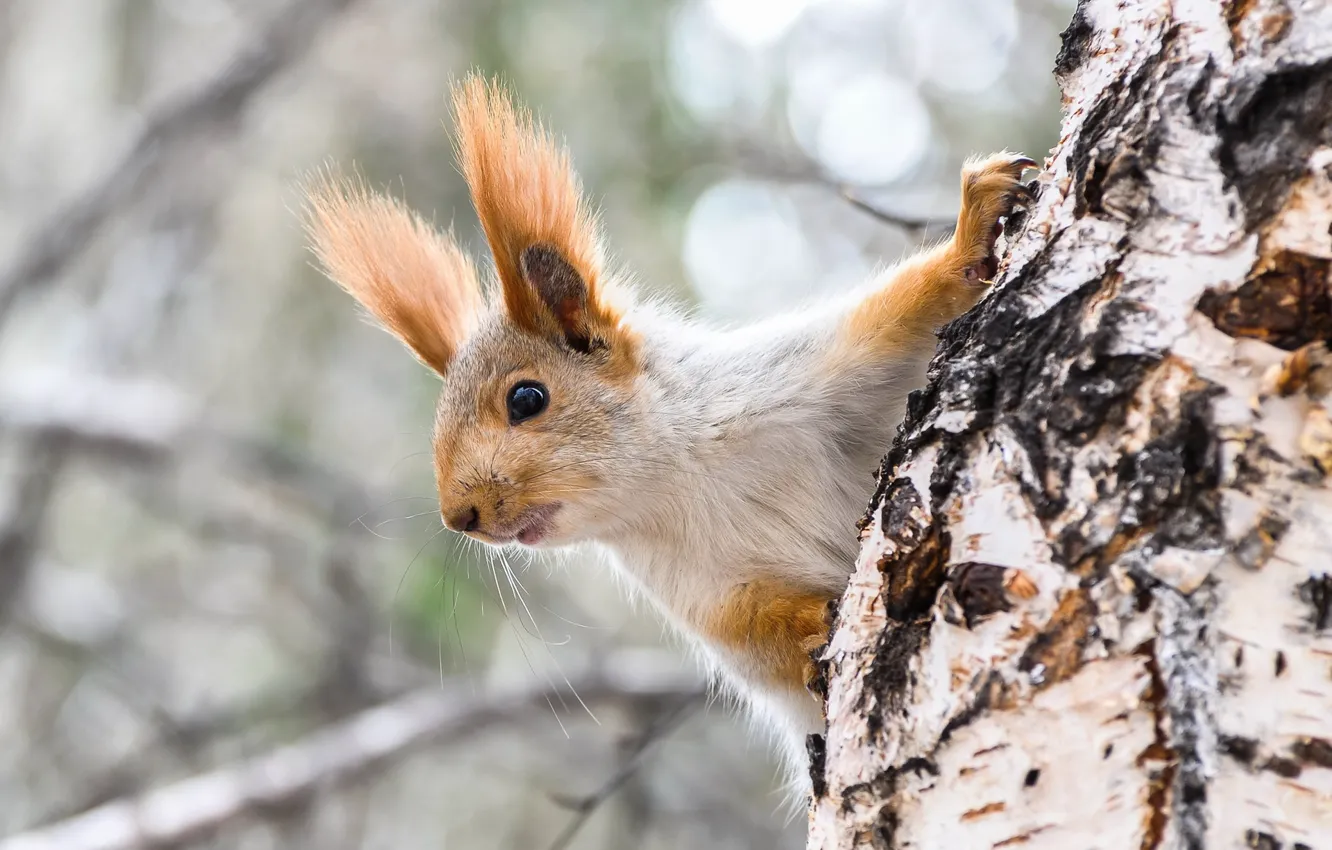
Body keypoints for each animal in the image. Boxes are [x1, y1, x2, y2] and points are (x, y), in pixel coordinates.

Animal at [303, 74, 1035, 795]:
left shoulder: (807, 377)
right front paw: (811, 624)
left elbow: (903, 316)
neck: (669, 482)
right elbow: (754, 634)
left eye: (527, 398)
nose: (461, 516)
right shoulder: (700, 589)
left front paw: (971, 234)